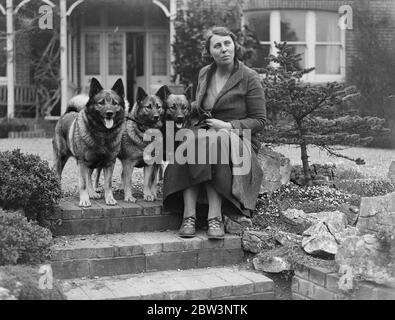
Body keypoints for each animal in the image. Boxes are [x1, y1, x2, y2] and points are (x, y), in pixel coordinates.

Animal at [52, 78, 126, 208]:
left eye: (115, 103)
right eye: (101, 103)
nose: (109, 113)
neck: (103, 134)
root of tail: (67, 112)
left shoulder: (109, 163)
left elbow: (107, 184)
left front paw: (109, 198)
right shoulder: (82, 162)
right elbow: (83, 183)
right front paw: (84, 200)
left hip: (91, 163)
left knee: (89, 178)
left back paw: (92, 193)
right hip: (61, 158)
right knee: (58, 175)